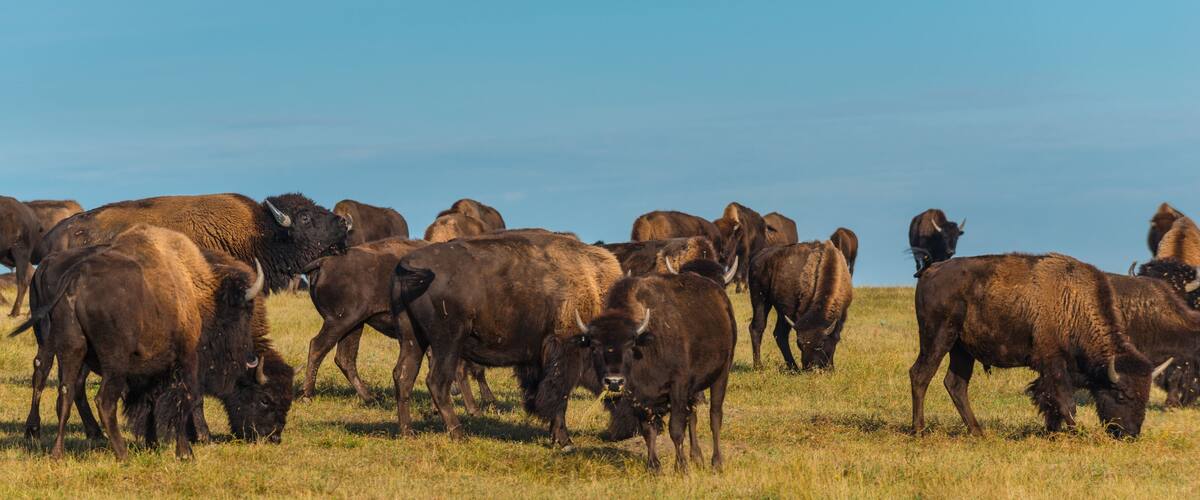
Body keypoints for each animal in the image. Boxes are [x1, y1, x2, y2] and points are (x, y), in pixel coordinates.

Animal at [391, 231, 621, 447]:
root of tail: (408, 263)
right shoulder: (564, 351)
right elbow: (559, 396)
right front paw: (564, 441)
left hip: (413, 338)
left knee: (403, 376)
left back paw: (408, 433)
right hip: (447, 341)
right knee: (437, 382)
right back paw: (459, 434)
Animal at [749, 241, 853, 371]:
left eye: (820, 345)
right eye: (799, 344)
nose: (809, 368)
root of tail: (759, 256)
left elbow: (835, 339)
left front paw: (831, 368)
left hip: (781, 311)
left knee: (779, 334)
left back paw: (793, 368)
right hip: (760, 299)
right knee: (757, 328)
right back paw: (759, 366)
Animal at [912, 254, 1152, 438]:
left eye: (1145, 396)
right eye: (1122, 395)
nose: (1131, 434)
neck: (1073, 303)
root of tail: (931, 270)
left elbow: (1049, 399)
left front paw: (1053, 432)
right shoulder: (1053, 363)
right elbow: (1066, 402)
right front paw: (1076, 433)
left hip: (961, 350)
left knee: (956, 384)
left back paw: (978, 432)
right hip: (938, 337)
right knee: (920, 375)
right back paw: (919, 431)